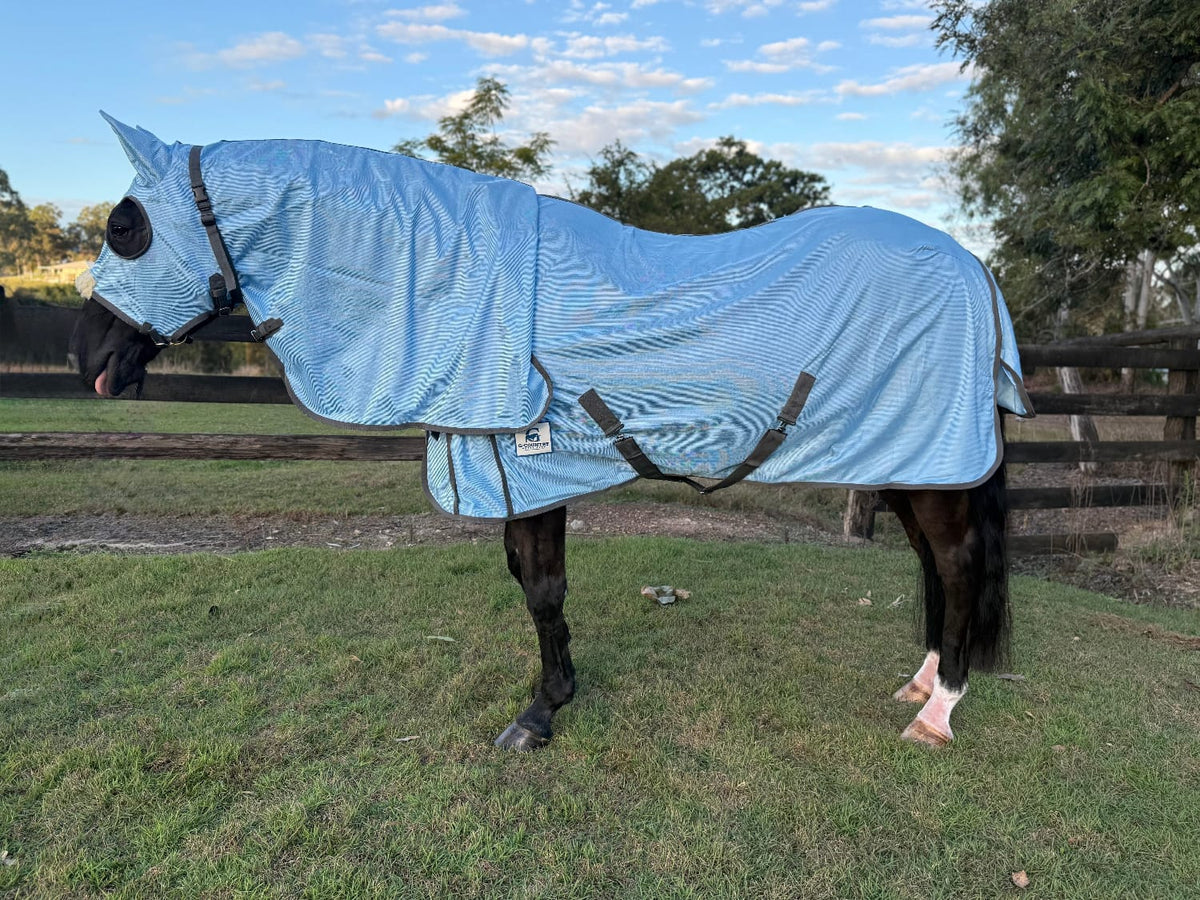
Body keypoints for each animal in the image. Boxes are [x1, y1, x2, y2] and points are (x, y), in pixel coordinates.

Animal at [71, 116, 1033, 749]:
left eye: (125, 227)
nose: (92, 358)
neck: (452, 281)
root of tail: (976, 269)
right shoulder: (506, 467)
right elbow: (529, 585)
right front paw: (556, 694)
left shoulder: (528, 465)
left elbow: (540, 590)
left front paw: (538, 717)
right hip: (913, 464)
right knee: (934, 567)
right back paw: (919, 684)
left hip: (930, 463)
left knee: (955, 565)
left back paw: (939, 712)